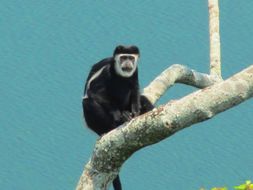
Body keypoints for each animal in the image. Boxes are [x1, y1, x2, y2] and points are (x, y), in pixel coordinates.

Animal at [82, 45, 153, 190]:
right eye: (123, 57)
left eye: (131, 58)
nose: (128, 63)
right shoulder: (106, 72)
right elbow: (95, 92)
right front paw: (119, 115)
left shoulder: (135, 71)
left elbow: (135, 88)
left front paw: (136, 113)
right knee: (88, 102)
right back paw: (111, 127)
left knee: (142, 98)